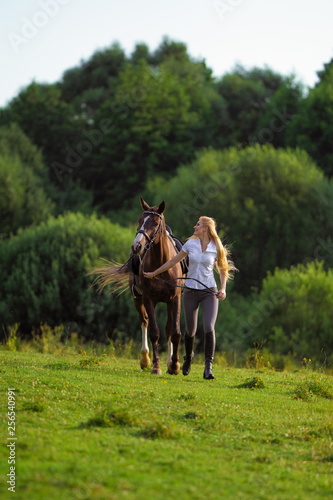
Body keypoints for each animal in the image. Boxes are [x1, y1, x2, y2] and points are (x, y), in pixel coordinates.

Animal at [91, 197, 184, 374]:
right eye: (140, 220)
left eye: (155, 223)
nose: (136, 246)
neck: (161, 264)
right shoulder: (148, 298)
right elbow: (154, 332)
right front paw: (155, 367)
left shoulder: (174, 299)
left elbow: (174, 332)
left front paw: (175, 366)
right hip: (138, 299)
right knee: (144, 322)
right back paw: (145, 359)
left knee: (168, 328)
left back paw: (169, 362)